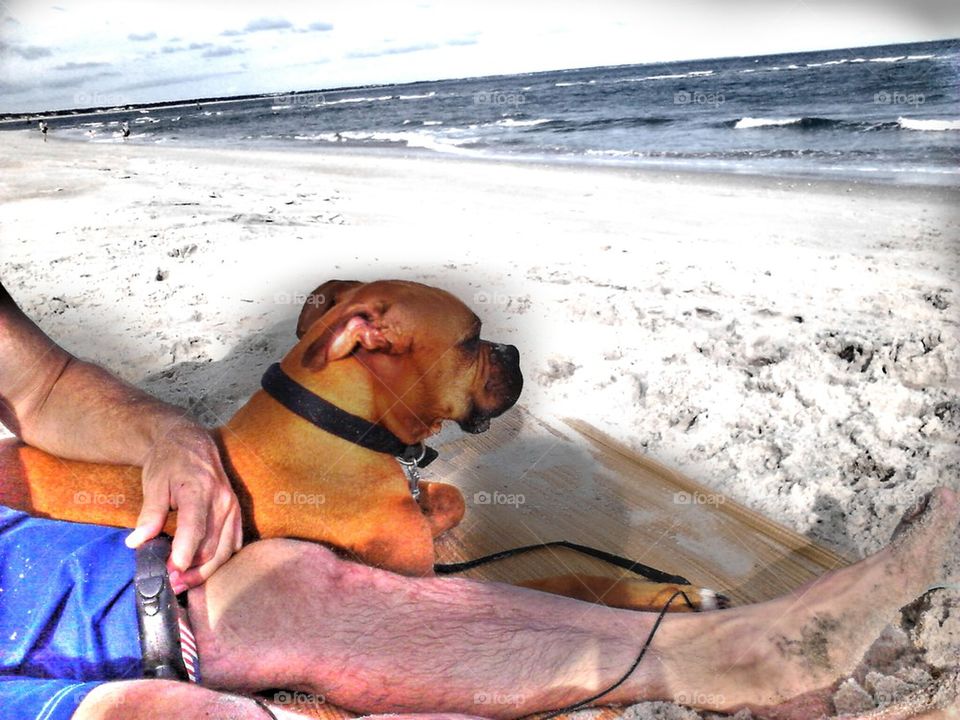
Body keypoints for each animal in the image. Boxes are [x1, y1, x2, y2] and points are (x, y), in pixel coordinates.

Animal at [0, 278, 720, 612]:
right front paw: (673, 598)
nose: (514, 351)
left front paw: (435, 510)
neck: (341, 427)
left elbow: (449, 499)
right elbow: (563, 580)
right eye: (472, 339)